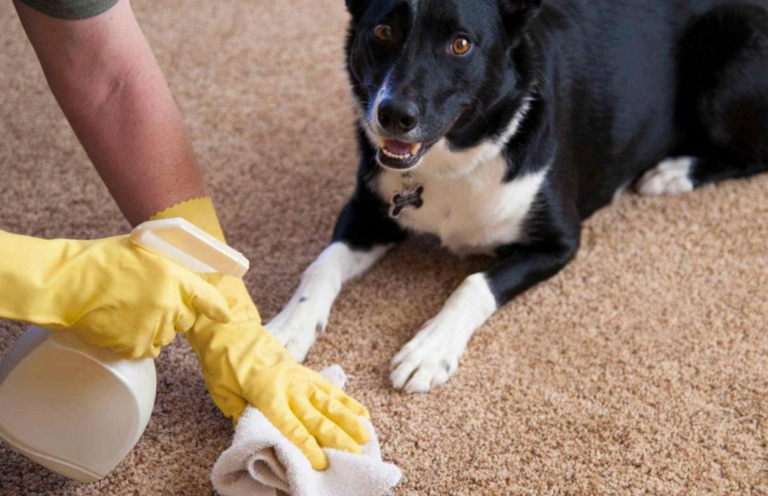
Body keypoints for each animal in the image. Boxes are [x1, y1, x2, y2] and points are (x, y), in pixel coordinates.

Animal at [266, 0, 768, 392]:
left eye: (461, 44)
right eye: (383, 31)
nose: (393, 115)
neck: (456, 160)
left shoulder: (559, 243)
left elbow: (474, 284)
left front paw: (430, 349)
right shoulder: (368, 212)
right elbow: (321, 265)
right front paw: (287, 328)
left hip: (722, 81)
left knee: (753, 155)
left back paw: (673, 172)